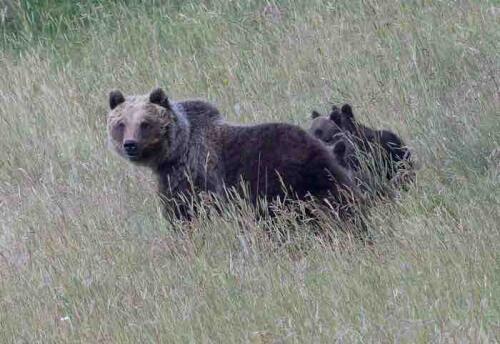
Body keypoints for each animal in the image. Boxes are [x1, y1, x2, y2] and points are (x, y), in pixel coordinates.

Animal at [107, 88, 362, 223]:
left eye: (145, 123)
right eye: (121, 124)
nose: (130, 145)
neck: (177, 150)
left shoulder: (194, 174)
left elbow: (186, 210)